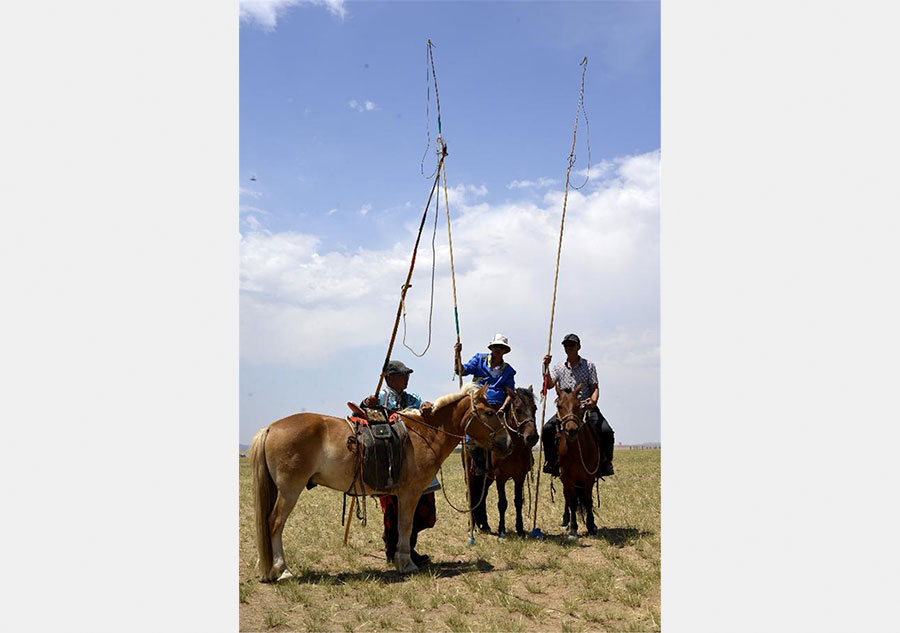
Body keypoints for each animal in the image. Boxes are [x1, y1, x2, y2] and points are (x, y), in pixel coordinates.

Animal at [250, 380, 510, 576]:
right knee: (274, 523)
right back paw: (282, 569)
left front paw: (401, 559)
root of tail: (270, 428)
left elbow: (401, 526)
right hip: (289, 491)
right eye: (490, 412)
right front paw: (406, 562)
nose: (507, 441)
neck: (424, 434)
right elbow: (405, 525)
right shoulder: (410, 493)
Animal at [468, 386, 536, 540]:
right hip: (472, 474)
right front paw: (502, 532)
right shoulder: (500, 476)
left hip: (487, 478)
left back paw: (484, 525)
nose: (532, 437)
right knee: (472, 494)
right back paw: (472, 526)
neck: (514, 449)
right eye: (518, 409)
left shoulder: (520, 476)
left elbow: (518, 502)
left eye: (534, 408)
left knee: (482, 496)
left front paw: (520, 530)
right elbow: (502, 503)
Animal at [552, 382, 600, 536]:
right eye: (559, 406)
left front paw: (591, 525)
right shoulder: (567, 477)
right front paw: (573, 528)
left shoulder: (589, 477)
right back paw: (566, 520)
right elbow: (572, 502)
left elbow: (588, 501)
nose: (571, 430)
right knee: (567, 497)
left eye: (579, 405)